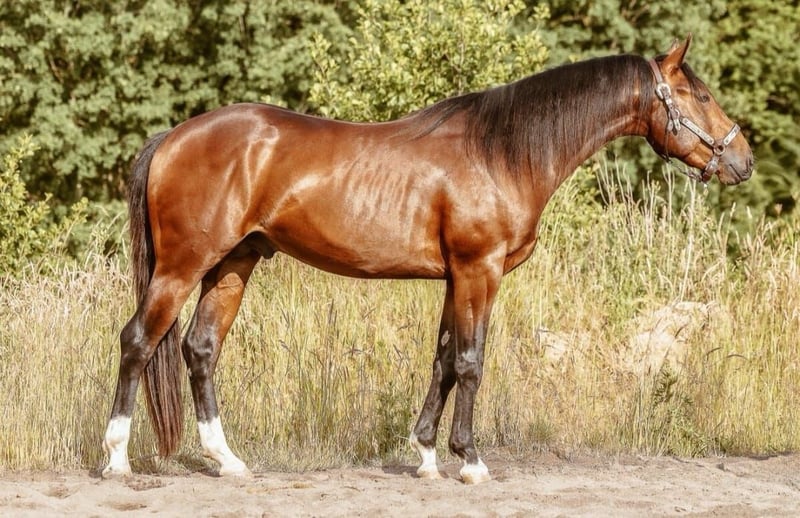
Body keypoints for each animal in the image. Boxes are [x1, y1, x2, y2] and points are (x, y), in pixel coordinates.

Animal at [102, 35, 752, 484]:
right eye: (699, 95)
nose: (741, 160)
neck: (502, 152)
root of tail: (174, 136)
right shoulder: (478, 270)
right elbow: (470, 362)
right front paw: (471, 461)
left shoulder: (454, 278)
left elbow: (442, 360)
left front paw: (426, 455)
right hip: (182, 265)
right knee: (138, 340)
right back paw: (116, 458)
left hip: (233, 264)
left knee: (200, 349)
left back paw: (228, 460)